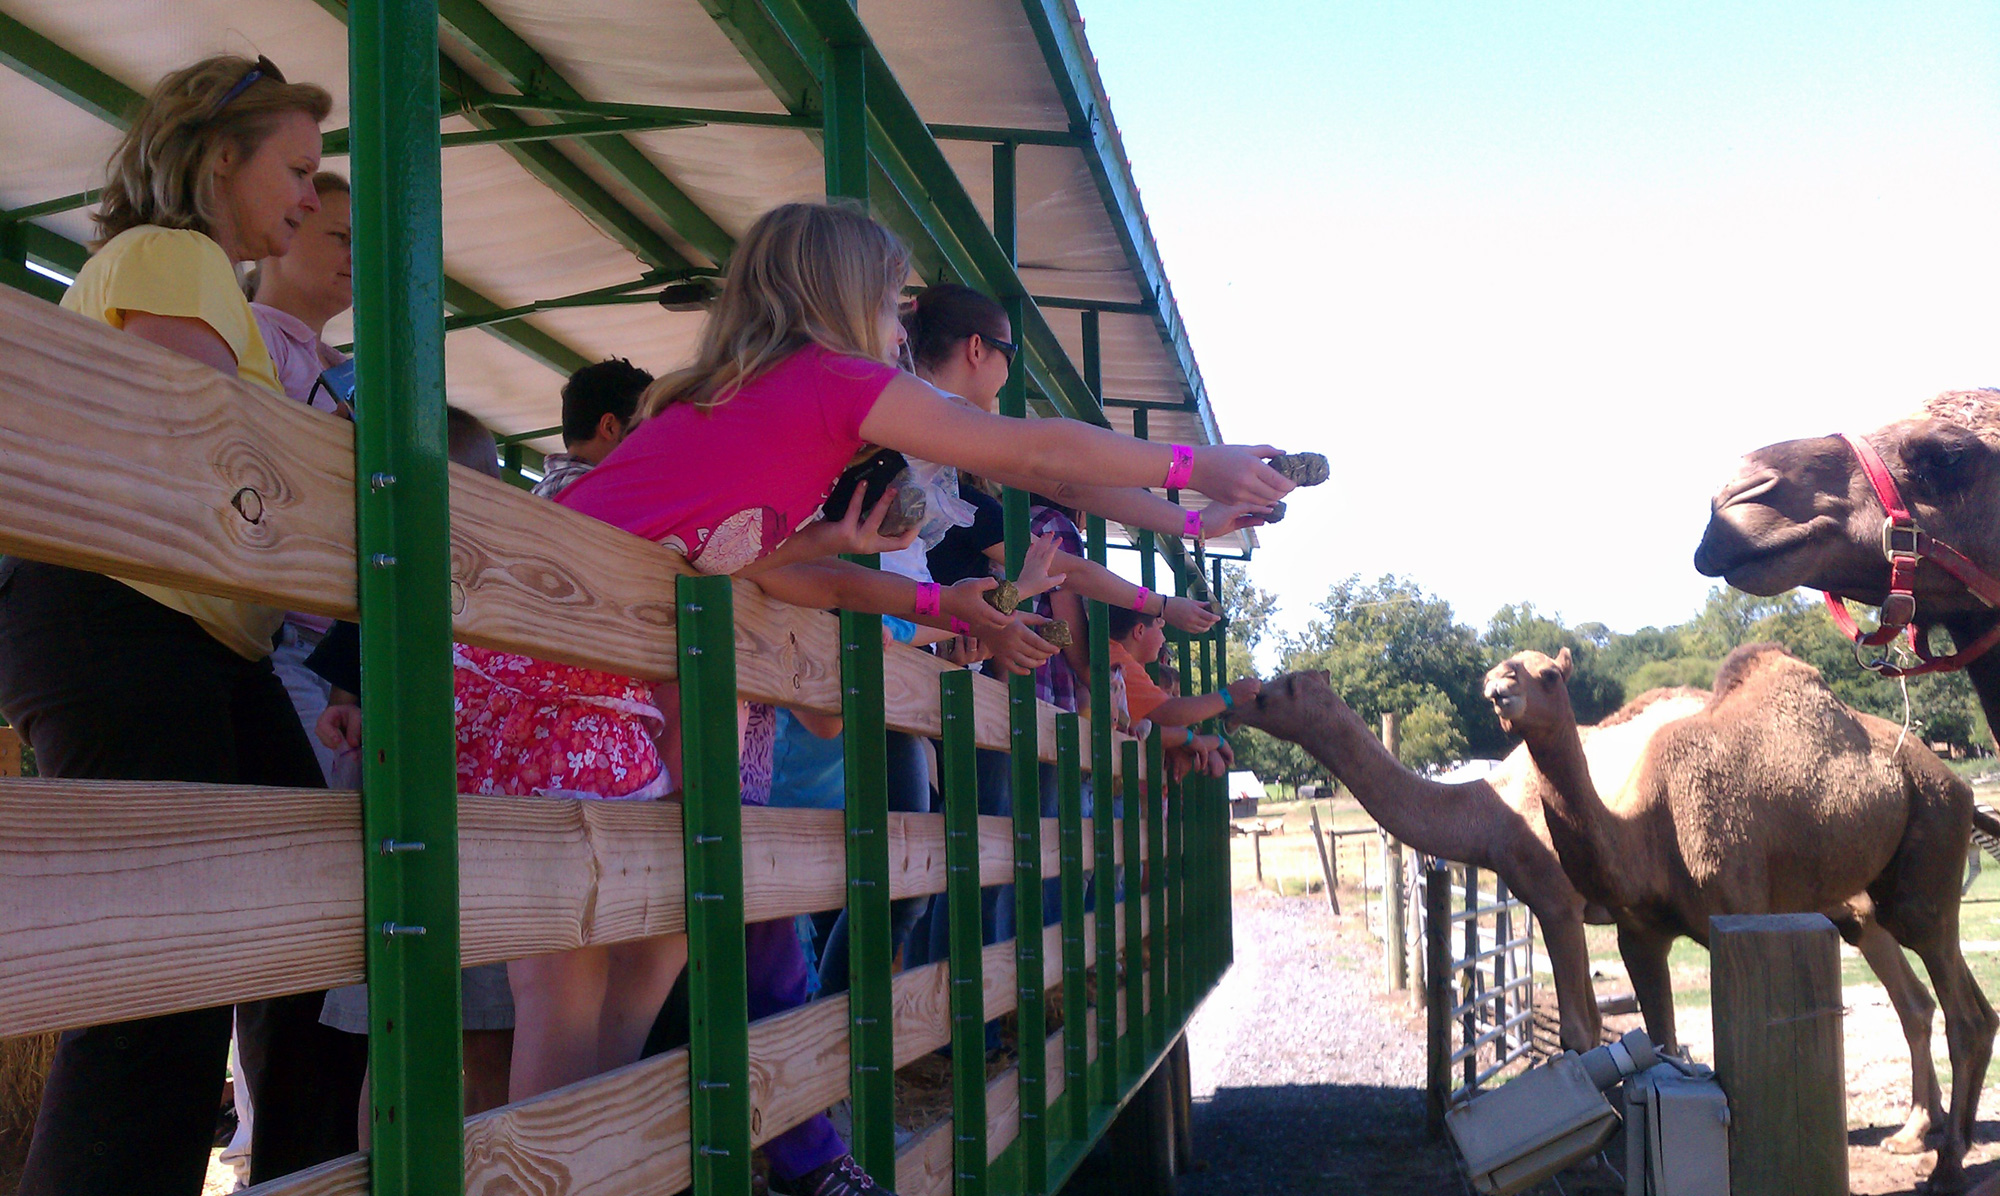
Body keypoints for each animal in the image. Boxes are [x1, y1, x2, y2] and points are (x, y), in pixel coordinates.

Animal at [1232, 676, 1704, 1056]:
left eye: (1264, 696)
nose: (1234, 705)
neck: (1492, 812)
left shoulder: (1558, 904)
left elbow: (1580, 1030)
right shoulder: (1562, 908)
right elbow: (1598, 1020)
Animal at [1488, 652, 1984, 1192]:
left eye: (1547, 675)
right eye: (1499, 667)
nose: (1497, 689)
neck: (1647, 825)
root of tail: (1958, 782)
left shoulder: (1736, 908)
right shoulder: (1639, 935)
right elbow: (1661, 1047)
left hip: (1929, 860)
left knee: (1963, 1013)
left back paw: (1947, 1166)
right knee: (1957, 1004)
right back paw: (1935, 1141)